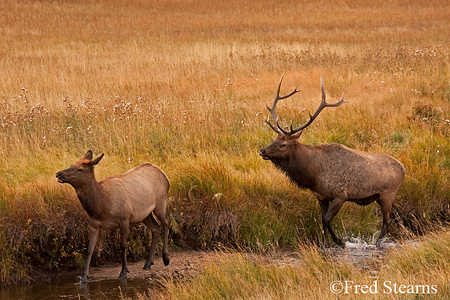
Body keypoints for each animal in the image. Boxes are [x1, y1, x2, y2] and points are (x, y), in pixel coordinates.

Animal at [55, 151, 169, 282]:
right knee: (155, 228)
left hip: (160, 204)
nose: (58, 174)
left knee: (166, 224)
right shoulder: (94, 224)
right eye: (71, 165)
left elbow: (123, 245)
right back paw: (148, 263)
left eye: (80, 169)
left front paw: (124, 271)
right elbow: (90, 249)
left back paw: (166, 258)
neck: (101, 206)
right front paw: (83, 277)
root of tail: (163, 174)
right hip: (145, 215)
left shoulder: (124, 219)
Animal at [258, 75, 406, 248]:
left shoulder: (340, 195)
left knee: (387, 220)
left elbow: (327, 220)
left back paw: (376, 243)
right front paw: (325, 244)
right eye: (274, 139)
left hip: (387, 194)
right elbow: (322, 220)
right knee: (396, 216)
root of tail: (403, 168)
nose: (262, 151)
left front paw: (341, 241)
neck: (313, 174)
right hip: (383, 197)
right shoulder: (321, 196)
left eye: (283, 144)